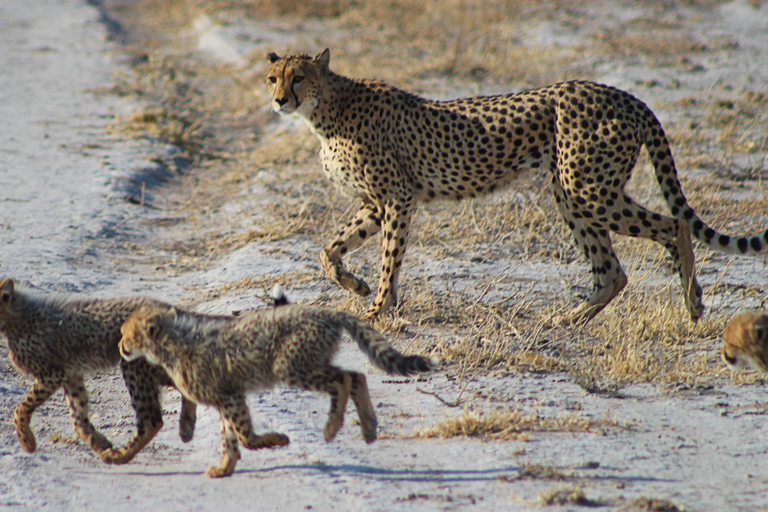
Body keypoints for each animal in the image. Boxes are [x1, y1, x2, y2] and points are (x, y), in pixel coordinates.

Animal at [0, 278, 196, 462]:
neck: (14, 315)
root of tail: (172, 309)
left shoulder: (53, 374)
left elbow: (21, 407)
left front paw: (28, 442)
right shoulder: (71, 374)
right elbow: (78, 417)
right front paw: (99, 443)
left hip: (135, 365)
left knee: (152, 419)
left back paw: (118, 456)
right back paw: (186, 428)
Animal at [117, 304, 436, 476]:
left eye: (125, 333)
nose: (120, 346)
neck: (170, 342)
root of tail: (326, 310)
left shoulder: (229, 396)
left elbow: (244, 436)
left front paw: (278, 440)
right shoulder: (225, 397)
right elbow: (230, 438)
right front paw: (224, 468)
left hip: (291, 366)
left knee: (343, 380)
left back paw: (332, 427)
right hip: (307, 362)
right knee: (356, 376)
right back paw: (368, 428)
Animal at [266, 50, 768, 326]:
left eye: (300, 77)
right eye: (273, 77)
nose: (278, 100)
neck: (326, 110)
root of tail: (622, 94)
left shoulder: (397, 197)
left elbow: (390, 258)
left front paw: (378, 309)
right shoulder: (374, 203)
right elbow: (328, 249)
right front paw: (356, 286)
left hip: (587, 189)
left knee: (672, 226)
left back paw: (693, 303)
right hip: (573, 194)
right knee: (612, 270)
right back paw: (567, 319)